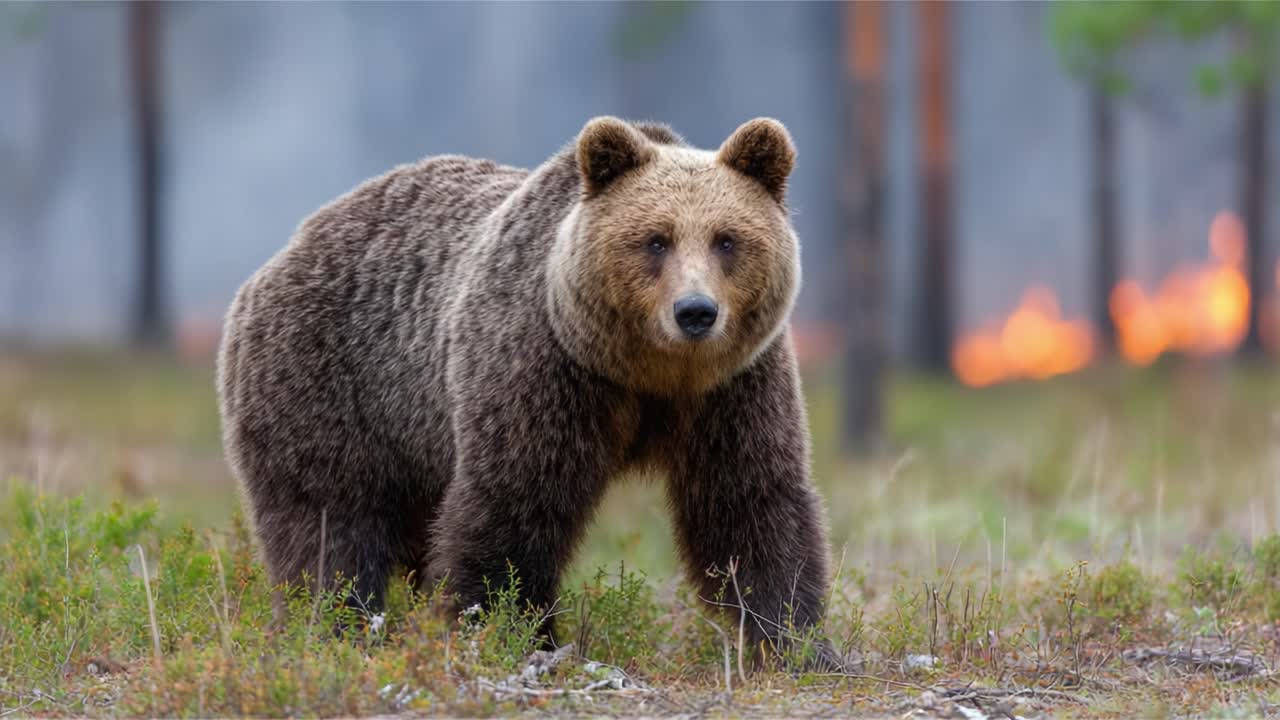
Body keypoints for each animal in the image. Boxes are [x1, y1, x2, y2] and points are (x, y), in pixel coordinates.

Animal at [217, 116, 838, 667]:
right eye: (655, 240)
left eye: (726, 239)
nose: (695, 312)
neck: (647, 373)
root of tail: (281, 255)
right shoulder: (544, 369)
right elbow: (514, 505)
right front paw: (508, 631)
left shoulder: (732, 389)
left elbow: (750, 503)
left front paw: (800, 642)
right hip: (329, 381)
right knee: (327, 523)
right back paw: (332, 625)